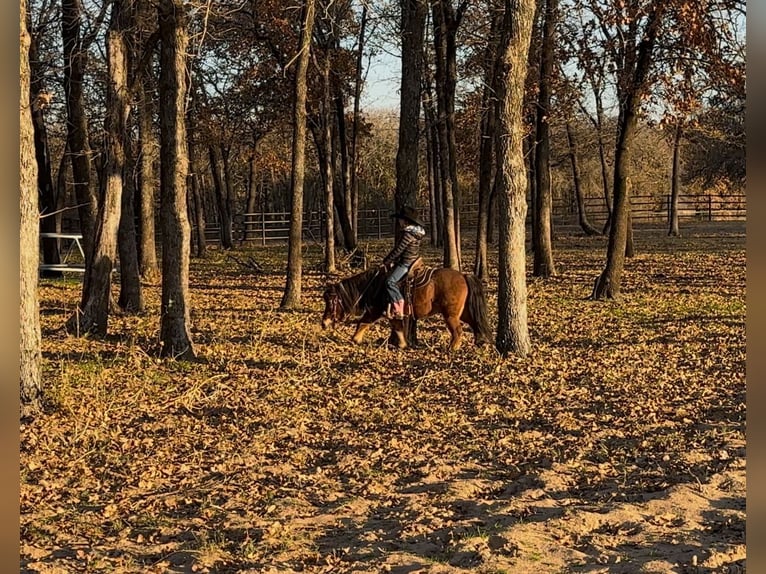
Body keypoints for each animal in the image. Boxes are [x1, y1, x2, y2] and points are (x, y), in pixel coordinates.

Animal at [322, 264, 492, 354]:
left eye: (331, 301)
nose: (324, 323)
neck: (376, 285)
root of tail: (463, 275)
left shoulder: (377, 310)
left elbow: (363, 322)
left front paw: (355, 339)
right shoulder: (391, 314)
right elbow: (396, 328)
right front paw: (403, 344)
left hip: (450, 315)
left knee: (458, 332)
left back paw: (452, 348)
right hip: (462, 313)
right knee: (475, 324)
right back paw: (480, 341)